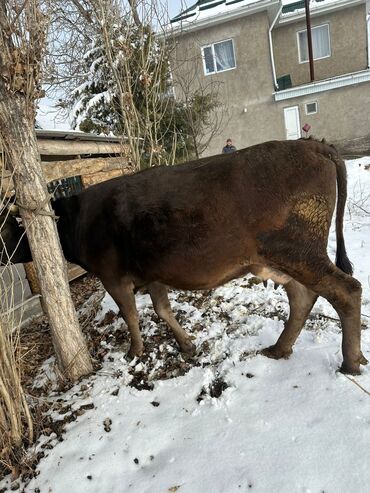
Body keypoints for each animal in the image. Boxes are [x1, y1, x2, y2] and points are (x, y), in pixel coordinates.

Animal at [1, 138, 368, 372]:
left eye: (3, 225)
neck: (77, 218)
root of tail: (309, 144)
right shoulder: (152, 272)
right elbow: (162, 309)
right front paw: (187, 345)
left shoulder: (112, 275)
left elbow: (130, 315)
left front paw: (134, 352)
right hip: (278, 259)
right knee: (302, 297)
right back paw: (280, 348)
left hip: (298, 252)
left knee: (346, 290)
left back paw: (350, 363)